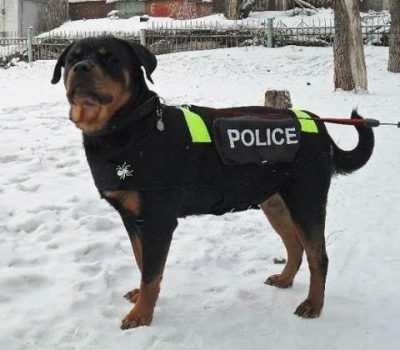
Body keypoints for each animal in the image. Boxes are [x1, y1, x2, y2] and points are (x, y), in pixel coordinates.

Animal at [50, 37, 376, 330]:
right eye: (71, 59)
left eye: (109, 58)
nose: (81, 67)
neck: (128, 128)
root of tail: (320, 127)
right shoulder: (132, 219)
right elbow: (143, 263)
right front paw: (141, 299)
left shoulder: (157, 220)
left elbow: (152, 273)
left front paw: (141, 315)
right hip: (274, 202)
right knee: (295, 245)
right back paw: (285, 279)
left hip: (306, 199)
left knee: (318, 256)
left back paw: (313, 304)